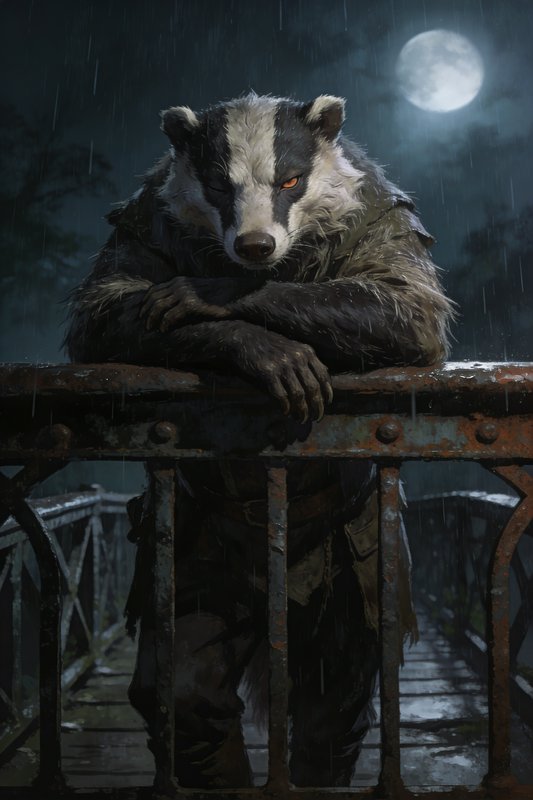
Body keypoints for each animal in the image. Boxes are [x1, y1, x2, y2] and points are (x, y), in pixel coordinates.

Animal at [65, 92, 454, 789]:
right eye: (220, 186)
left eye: (290, 181)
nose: (253, 246)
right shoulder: (144, 215)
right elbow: (103, 308)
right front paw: (259, 345)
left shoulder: (380, 209)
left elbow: (409, 306)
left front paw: (212, 293)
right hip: (198, 545)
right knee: (194, 684)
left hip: (359, 568)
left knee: (336, 700)